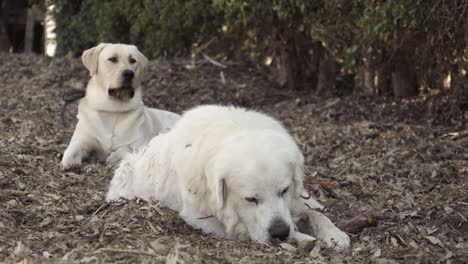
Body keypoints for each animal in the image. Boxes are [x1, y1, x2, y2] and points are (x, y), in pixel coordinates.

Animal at [105, 105, 348, 250]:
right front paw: (304, 239)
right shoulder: (202, 218)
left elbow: (315, 214)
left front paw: (334, 234)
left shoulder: (293, 202)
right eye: (251, 199)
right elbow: (245, 231)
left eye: (284, 191)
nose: (279, 232)